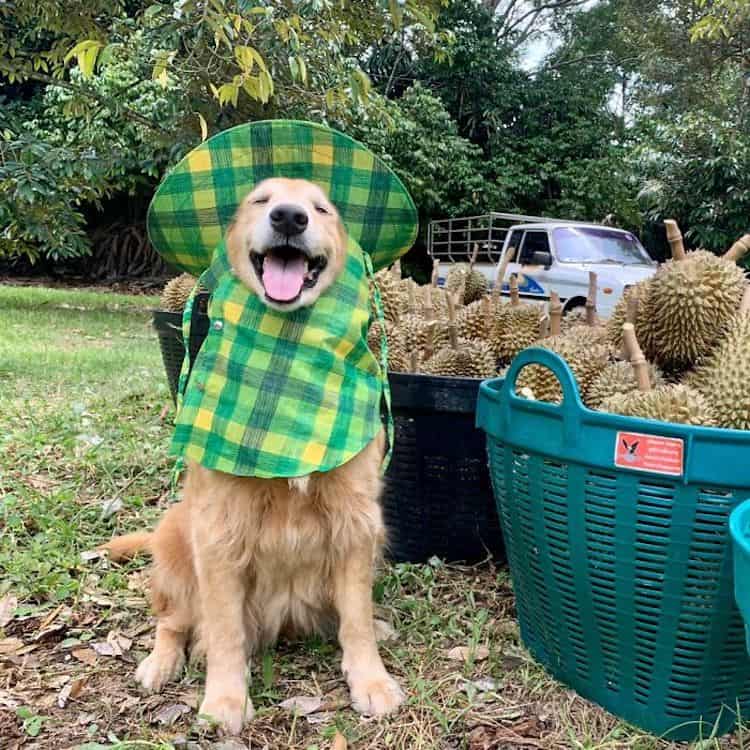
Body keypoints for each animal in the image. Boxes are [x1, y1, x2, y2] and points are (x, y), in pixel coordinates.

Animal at [104, 181, 406, 736]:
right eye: (260, 200)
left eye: (322, 208)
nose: (290, 217)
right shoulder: (219, 534)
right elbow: (224, 631)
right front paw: (224, 698)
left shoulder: (356, 523)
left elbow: (354, 620)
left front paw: (371, 680)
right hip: (176, 543)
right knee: (172, 621)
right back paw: (160, 663)